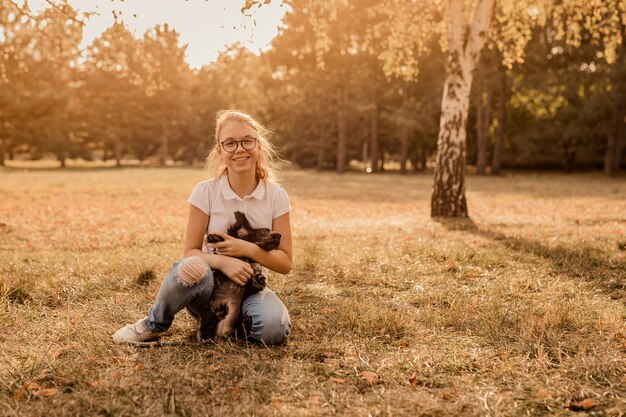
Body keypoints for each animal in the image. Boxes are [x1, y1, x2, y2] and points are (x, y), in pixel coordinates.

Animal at [197, 210, 280, 340]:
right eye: (263, 231)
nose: (280, 235)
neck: (246, 256)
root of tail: (221, 334)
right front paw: (214, 237)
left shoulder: (251, 280)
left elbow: (255, 283)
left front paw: (260, 279)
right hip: (205, 313)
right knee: (205, 328)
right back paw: (219, 313)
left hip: (233, 329)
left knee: (238, 332)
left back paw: (245, 323)